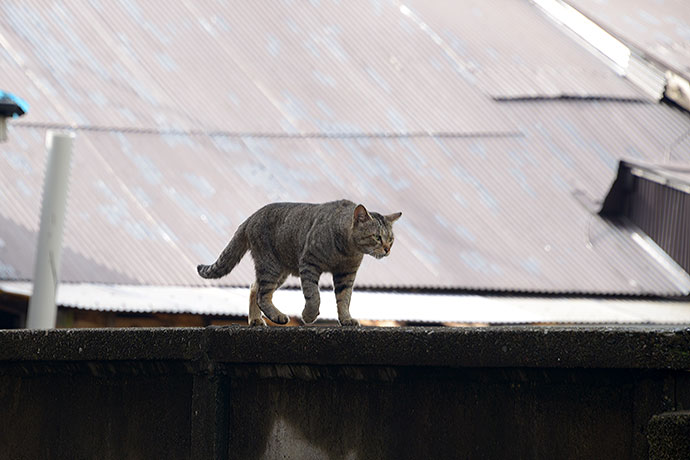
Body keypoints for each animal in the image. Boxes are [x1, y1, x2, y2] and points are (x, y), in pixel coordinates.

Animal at [196, 201, 400, 328]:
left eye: (391, 239)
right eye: (377, 237)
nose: (387, 249)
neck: (347, 251)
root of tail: (251, 217)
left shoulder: (346, 274)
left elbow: (344, 299)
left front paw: (346, 319)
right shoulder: (309, 263)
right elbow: (313, 295)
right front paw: (309, 315)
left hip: (279, 271)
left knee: (255, 287)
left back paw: (256, 320)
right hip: (271, 265)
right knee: (262, 295)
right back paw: (276, 316)